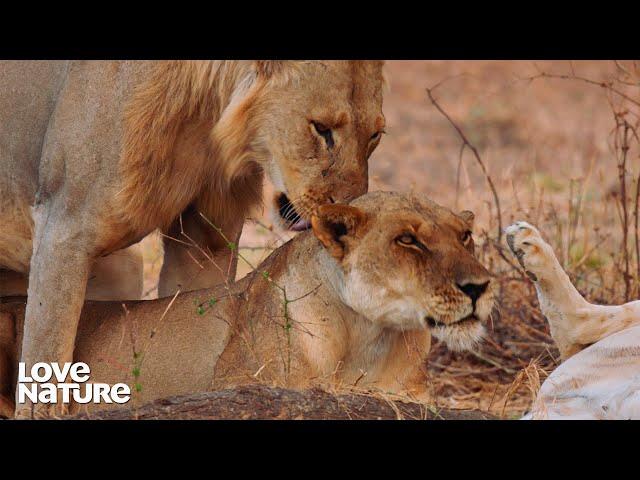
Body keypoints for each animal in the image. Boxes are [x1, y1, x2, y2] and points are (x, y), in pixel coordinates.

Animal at [0, 60, 384, 414]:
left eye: (375, 135)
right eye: (322, 129)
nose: (349, 217)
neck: (204, 115)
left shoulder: (204, 241)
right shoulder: (64, 224)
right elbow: (46, 356)